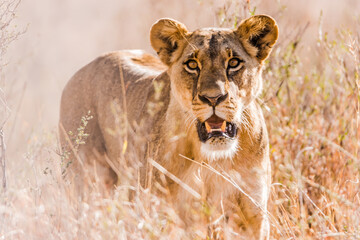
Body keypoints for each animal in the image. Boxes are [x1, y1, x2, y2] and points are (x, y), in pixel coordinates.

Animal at [59, 15, 278, 240]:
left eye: (234, 63)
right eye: (192, 65)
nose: (213, 98)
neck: (213, 161)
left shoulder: (253, 216)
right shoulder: (161, 213)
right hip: (86, 182)